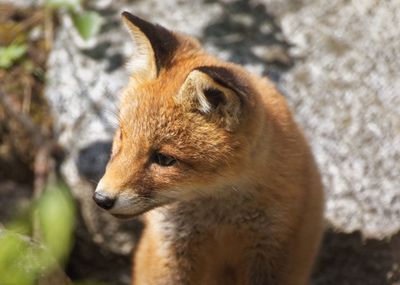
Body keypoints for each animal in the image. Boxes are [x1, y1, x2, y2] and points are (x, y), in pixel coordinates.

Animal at [94, 11, 324, 284]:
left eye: (164, 159)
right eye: (122, 136)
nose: (101, 199)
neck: (219, 215)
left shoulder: (275, 247)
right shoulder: (172, 249)